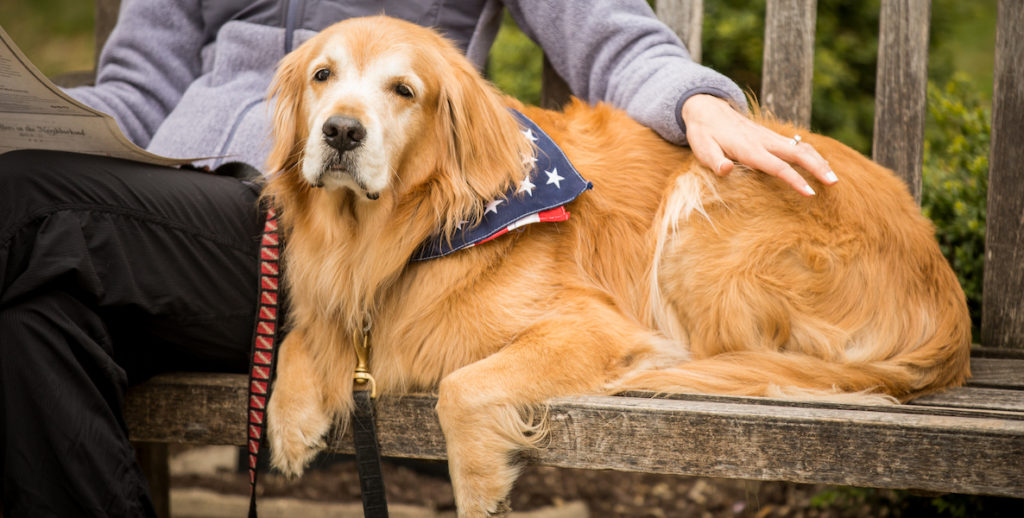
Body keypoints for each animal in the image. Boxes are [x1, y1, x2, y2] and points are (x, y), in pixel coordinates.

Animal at [260, 14, 970, 515]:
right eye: (322, 76)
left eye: (403, 90)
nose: (341, 132)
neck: (408, 235)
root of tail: (949, 303)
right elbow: (296, 340)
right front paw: (292, 427)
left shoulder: (593, 326)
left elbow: (462, 387)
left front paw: (480, 488)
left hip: (701, 208)